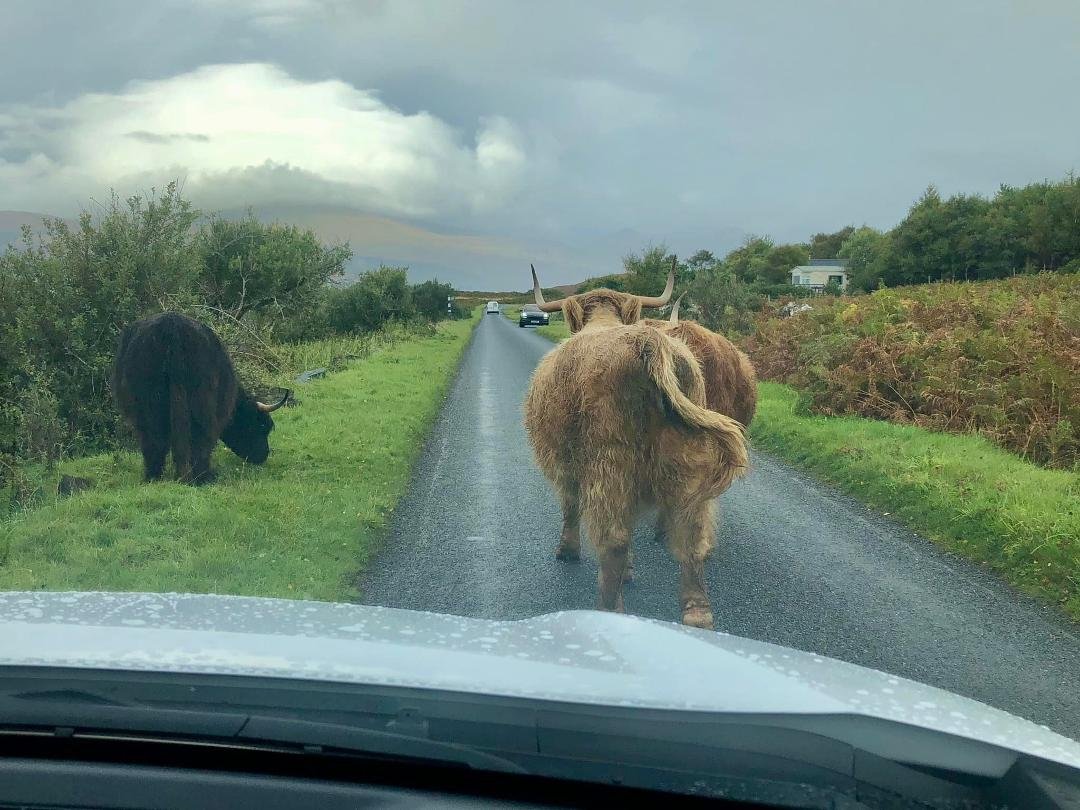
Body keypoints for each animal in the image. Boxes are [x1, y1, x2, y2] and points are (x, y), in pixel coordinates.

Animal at [111, 312, 289, 484]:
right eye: (261, 426)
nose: (263, 455)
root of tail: (172, 328)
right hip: (201, 401)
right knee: (200, 436)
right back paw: (202, 476)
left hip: (150, 402)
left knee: (153, 437)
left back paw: (154, 477)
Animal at [523, 261, 749, 629]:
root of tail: (651, 344)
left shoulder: (564, 464)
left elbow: (570, 505)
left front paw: (568, 552)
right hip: (688, 462)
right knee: (692, 534)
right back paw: (697, 613)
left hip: (610, 461)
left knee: (613, 538)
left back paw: (610, 610)